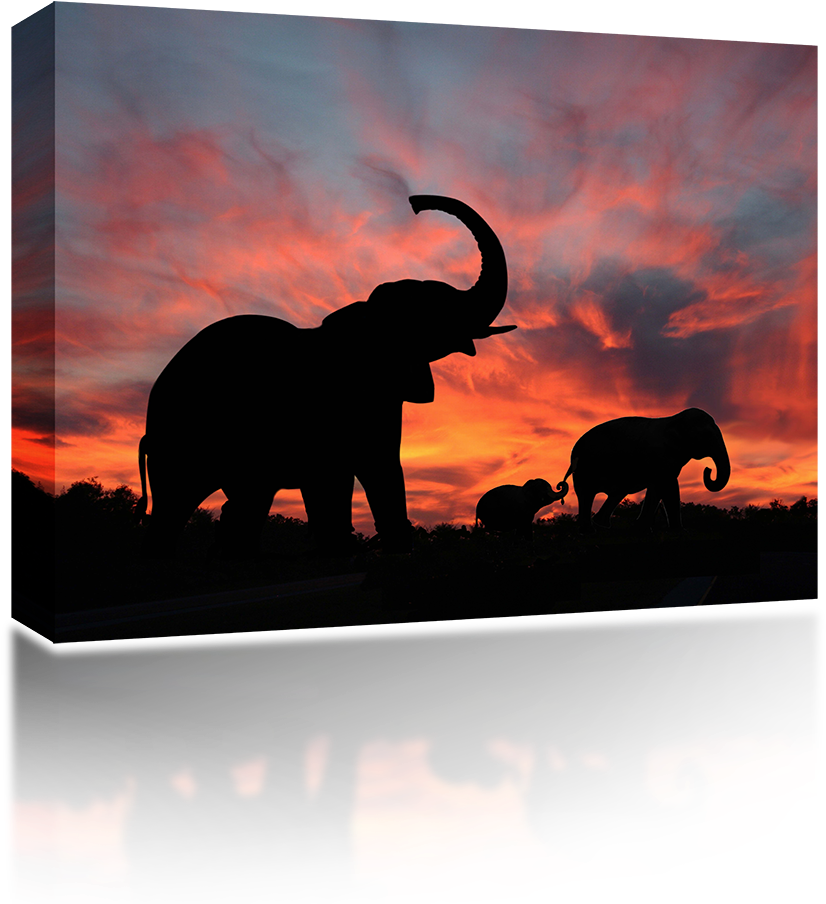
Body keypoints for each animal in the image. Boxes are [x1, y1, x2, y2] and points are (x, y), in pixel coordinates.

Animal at [136, 195, 516, 558]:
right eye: (432, 310)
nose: (415, 203)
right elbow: (352, 472)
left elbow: (374, 467)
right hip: (182, 435)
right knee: (177, 504)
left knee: (247, 501)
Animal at [557, 408, 731, 533]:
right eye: (707, 435)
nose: (708, 469)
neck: (673, 420)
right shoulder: (661, 455)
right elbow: (668, 487)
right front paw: (681, 532)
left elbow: (659, 488)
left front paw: (644, 529)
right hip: (586, 468)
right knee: (587, 494)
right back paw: (590, 530)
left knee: (616, 492)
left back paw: (600, 526)